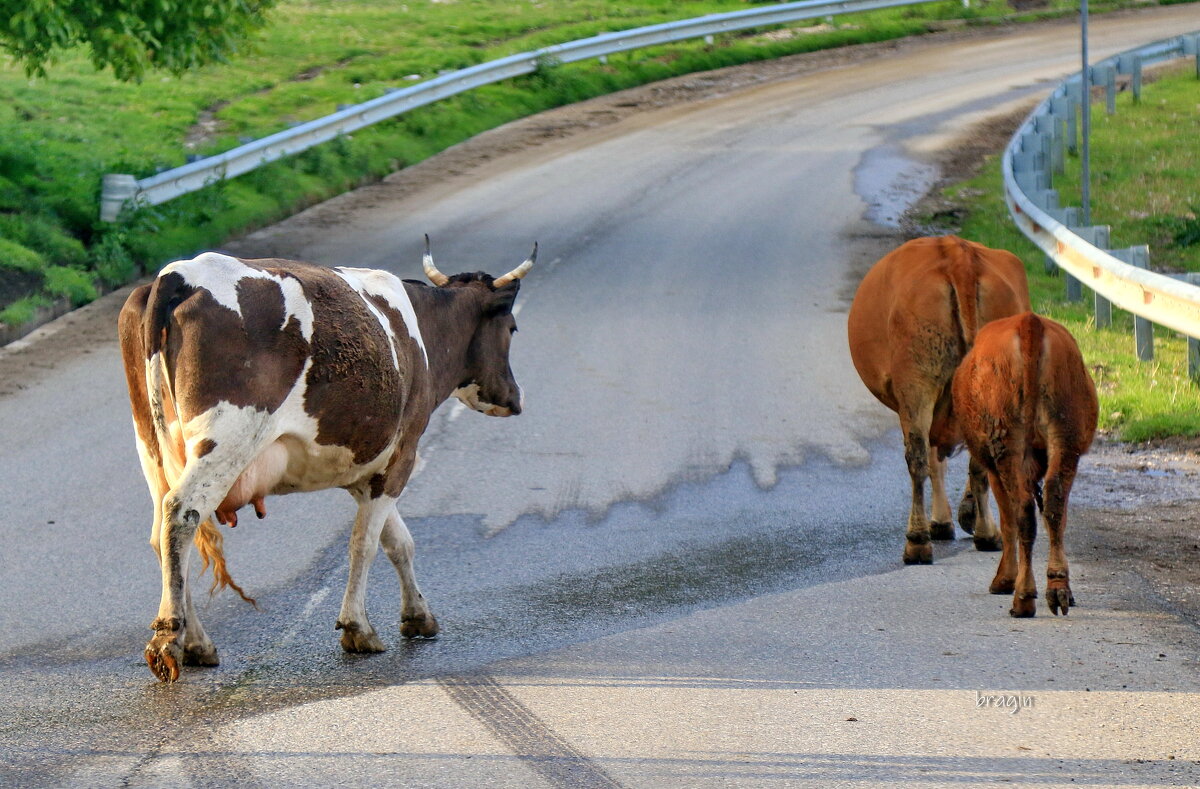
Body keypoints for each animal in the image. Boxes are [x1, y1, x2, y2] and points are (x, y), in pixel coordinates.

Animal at [120, 236, 535, 681]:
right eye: (512, 328)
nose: (515, 398)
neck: (421, 330)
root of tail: (179, 273)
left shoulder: (365, 468)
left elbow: (398, 541)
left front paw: (418, 615)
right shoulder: (402, 454)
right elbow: (364, 543)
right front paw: (358, 628)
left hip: (152, 448)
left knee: (164, 532)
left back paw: (196, 642)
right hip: (227, 439)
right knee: (183, 515)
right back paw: (170, 640)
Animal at [844, 236, 1032, 561]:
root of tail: (958, 253)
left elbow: (934, 460)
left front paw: (943, 521)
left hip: (916, 382)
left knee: (918, 457)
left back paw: (919, 541)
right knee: (981, 460)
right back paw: (985, 533)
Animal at [950, 311, 1099, 613]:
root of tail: (1028, 322)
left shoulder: (993, 470)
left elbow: (1007, 522)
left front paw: (1004, 580)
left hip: (1005, 444)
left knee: (1022, 512)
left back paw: (1023, 597)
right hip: (1066, 437)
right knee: (1054, 503)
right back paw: (1058, 588)